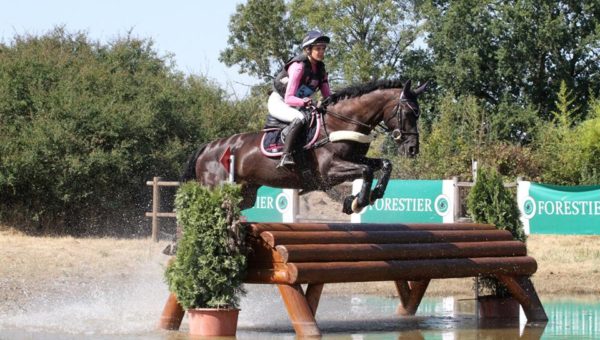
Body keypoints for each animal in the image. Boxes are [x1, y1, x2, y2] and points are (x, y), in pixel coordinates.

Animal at [183, 78, 426, 214]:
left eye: (418, 113)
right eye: (409, 112)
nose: (413, 149)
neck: (341, 121)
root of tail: (207, 148)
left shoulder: (354, 159)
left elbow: (384, 164)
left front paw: (372, 195)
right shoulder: (329, 170)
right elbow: (366, 170)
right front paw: (356, 202)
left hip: (246, 194)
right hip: (216, 189)